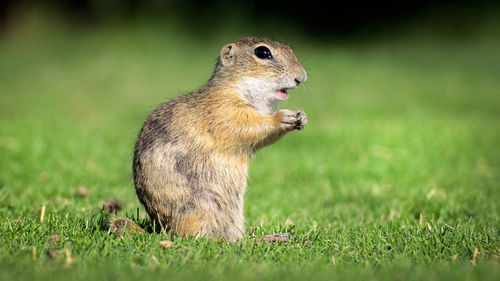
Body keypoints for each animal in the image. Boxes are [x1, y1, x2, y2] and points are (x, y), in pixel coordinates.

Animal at [131, 36, 306, 240]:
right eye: (263, 52)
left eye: (289, 48)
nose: (301, 77)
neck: (236, 87)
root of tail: (163, 230)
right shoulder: (225, 112)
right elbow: (246, 127)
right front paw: (283, 117)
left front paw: (302, 117)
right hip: (202, 209)